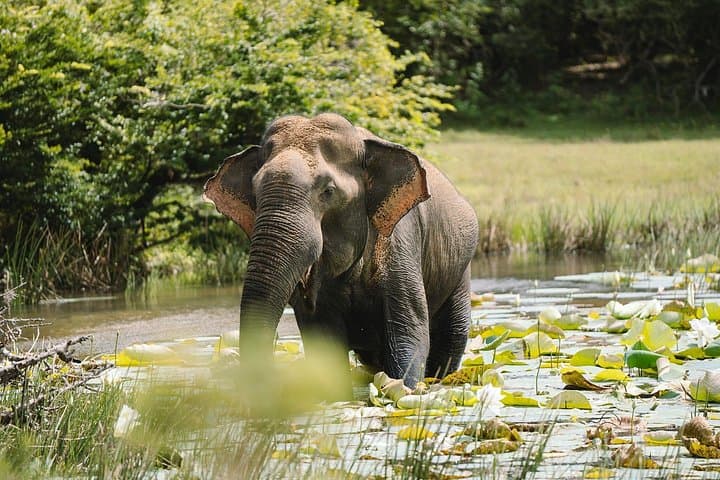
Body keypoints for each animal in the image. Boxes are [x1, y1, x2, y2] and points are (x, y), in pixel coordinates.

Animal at [203, 113, 478, 387]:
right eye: (255, 192)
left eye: (328, 191)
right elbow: (324, 347)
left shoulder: (401, 241)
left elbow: (408, 336)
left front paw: (399, 388)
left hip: (459, 273)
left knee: (450, 339)